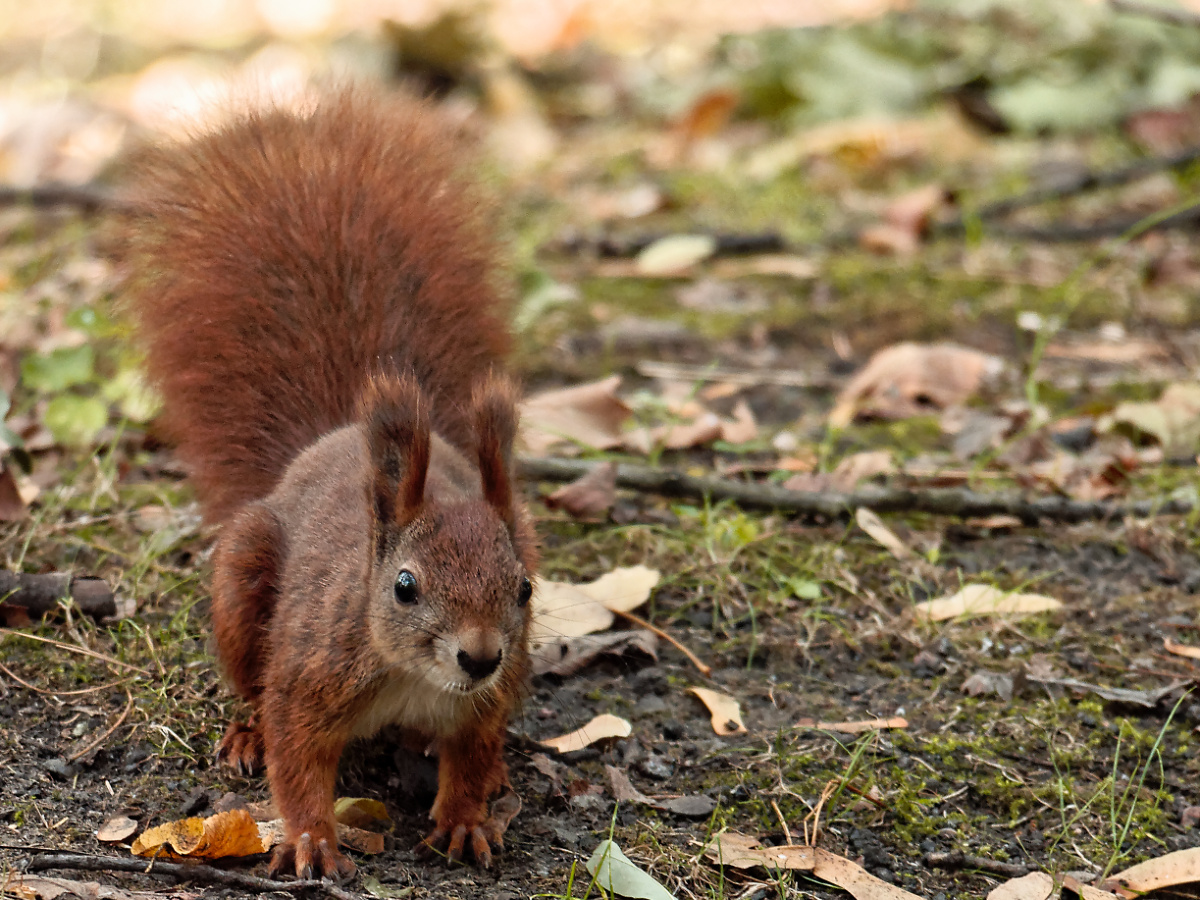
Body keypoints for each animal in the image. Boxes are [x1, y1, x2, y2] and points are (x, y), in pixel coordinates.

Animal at [125, 87, 538, 881]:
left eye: (526, 587)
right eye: (404, 586)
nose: (479, 657)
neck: (414, 679)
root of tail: (327, 440)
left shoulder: (481, 703)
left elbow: (471, 756)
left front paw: (468, 816)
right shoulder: (311, 672)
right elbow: (296, 754)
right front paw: (314, 837)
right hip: (242, 582)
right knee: (252, 687)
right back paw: (245, 734)